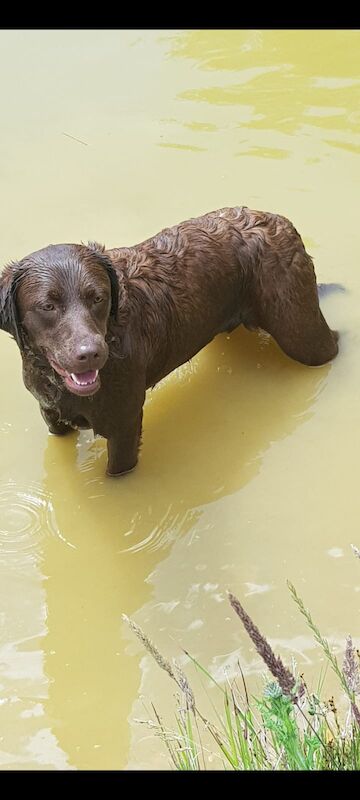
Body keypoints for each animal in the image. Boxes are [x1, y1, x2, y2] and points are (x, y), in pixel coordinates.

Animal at [0, 206, 338, 478]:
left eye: (98, 297)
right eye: (47, 306)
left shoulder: (124, 423)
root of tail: (280, 220)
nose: (91, 354)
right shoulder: (50, 414)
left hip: (302, 334)